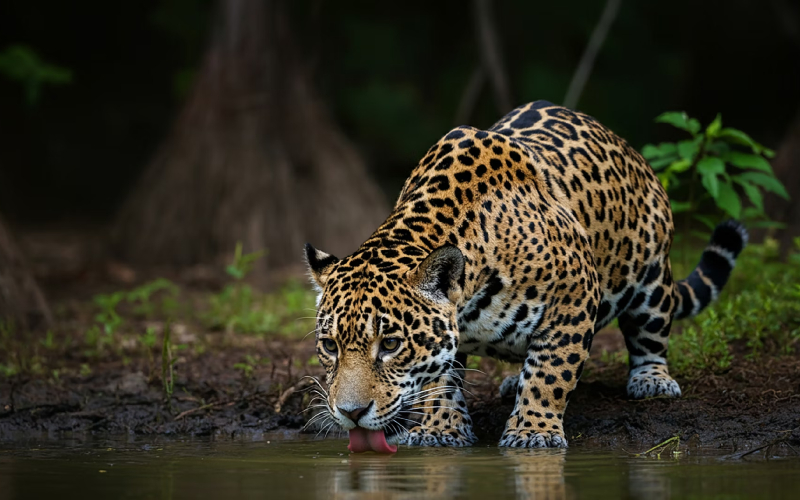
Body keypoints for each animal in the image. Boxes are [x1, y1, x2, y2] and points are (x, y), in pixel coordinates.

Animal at [304, 100, 748, 449]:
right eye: (329, 346)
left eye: (392, 344)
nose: (351, 412)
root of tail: (628, 149)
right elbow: (438, 379)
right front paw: (441, 429)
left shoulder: (574, 298)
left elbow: (552, 372)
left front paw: (533, 432)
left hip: (651, 275)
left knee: (650, 333)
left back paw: (652, 380)